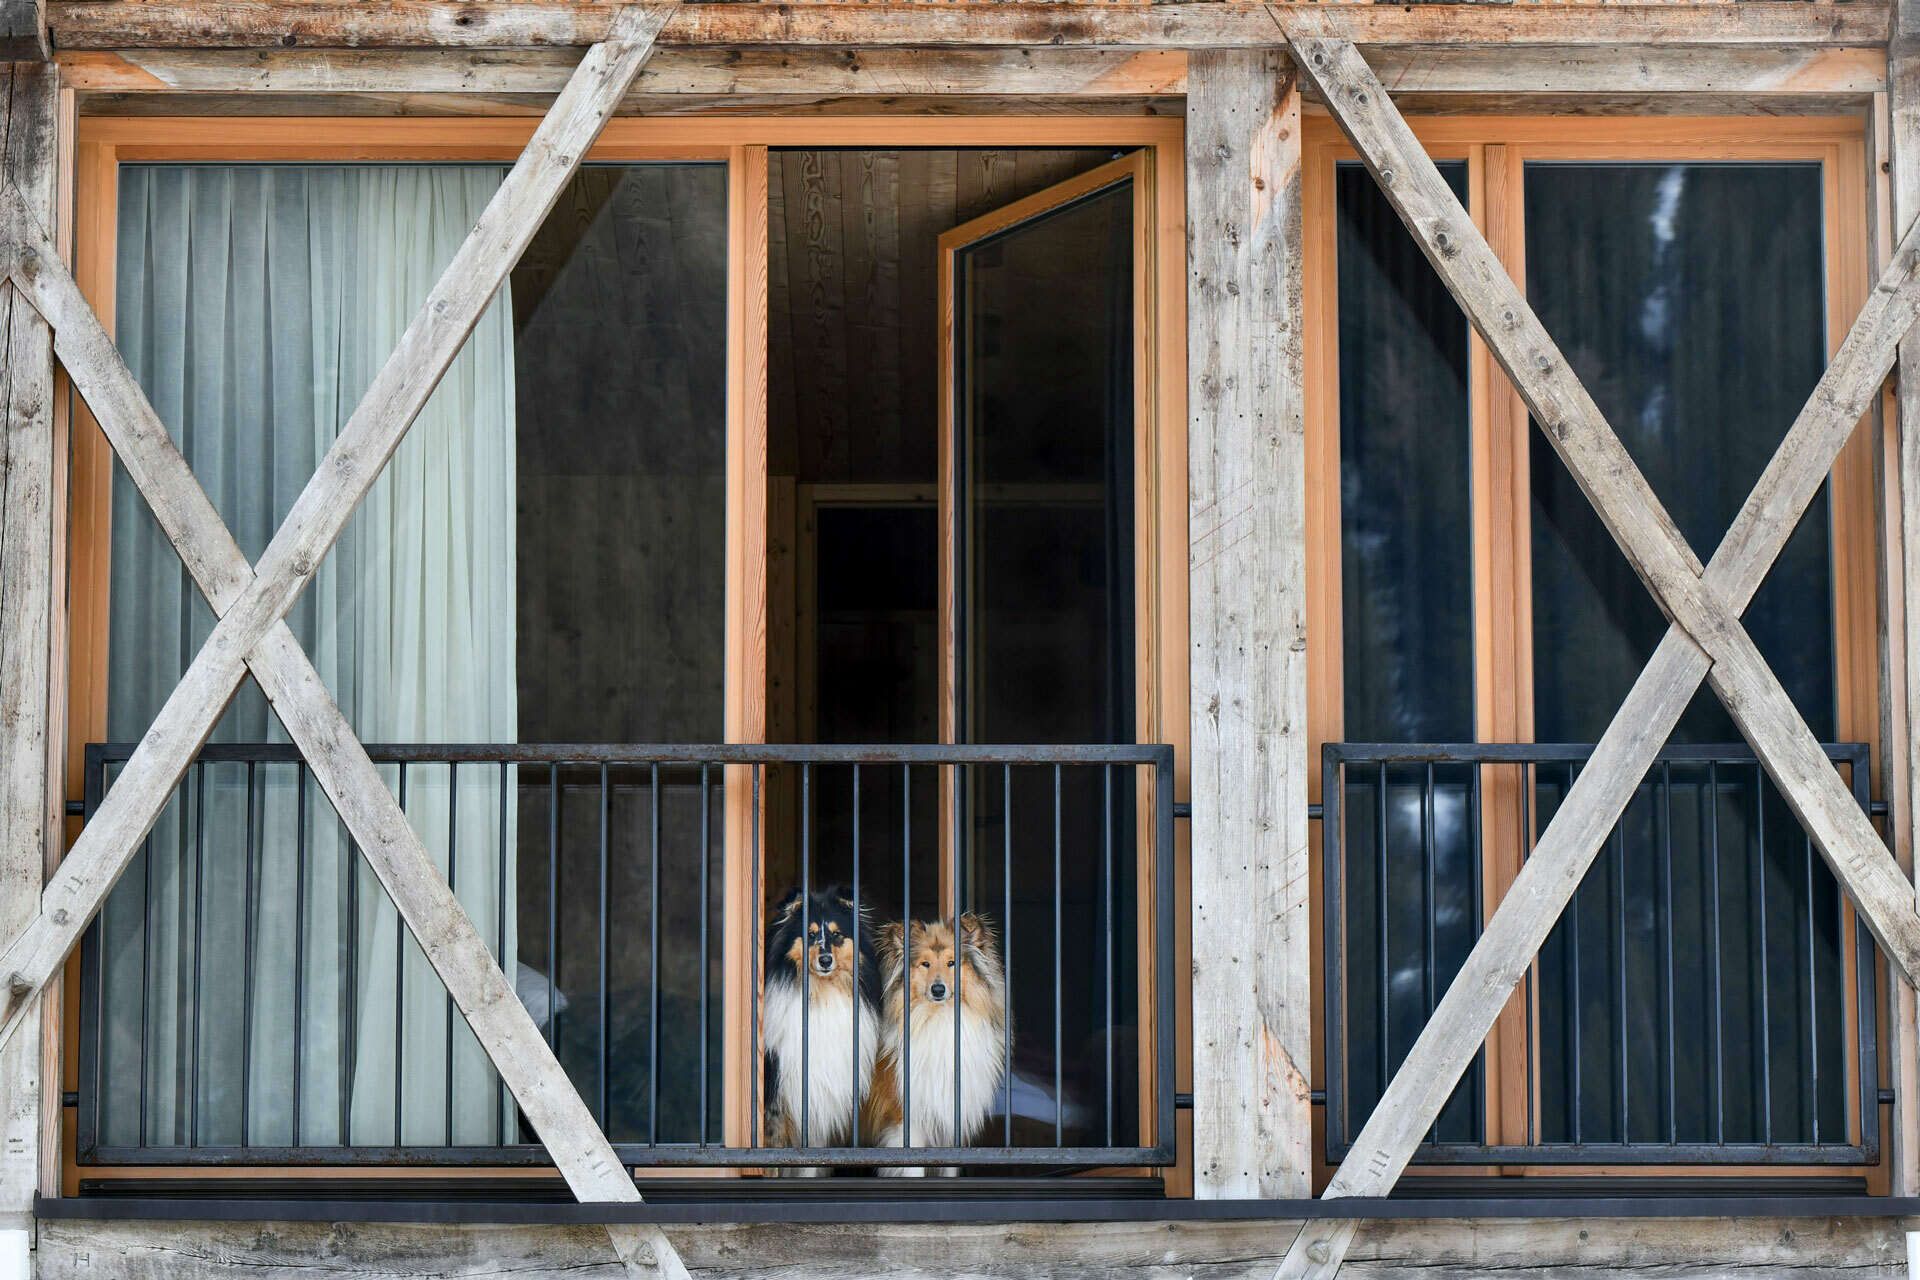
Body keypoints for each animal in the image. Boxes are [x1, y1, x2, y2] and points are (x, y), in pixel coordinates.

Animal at [860, 909, 1006, 1174]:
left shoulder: (949, 1123)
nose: (938, 990)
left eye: (952, 963)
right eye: (925, 964)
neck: (940, 1019)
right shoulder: (907, 1124)